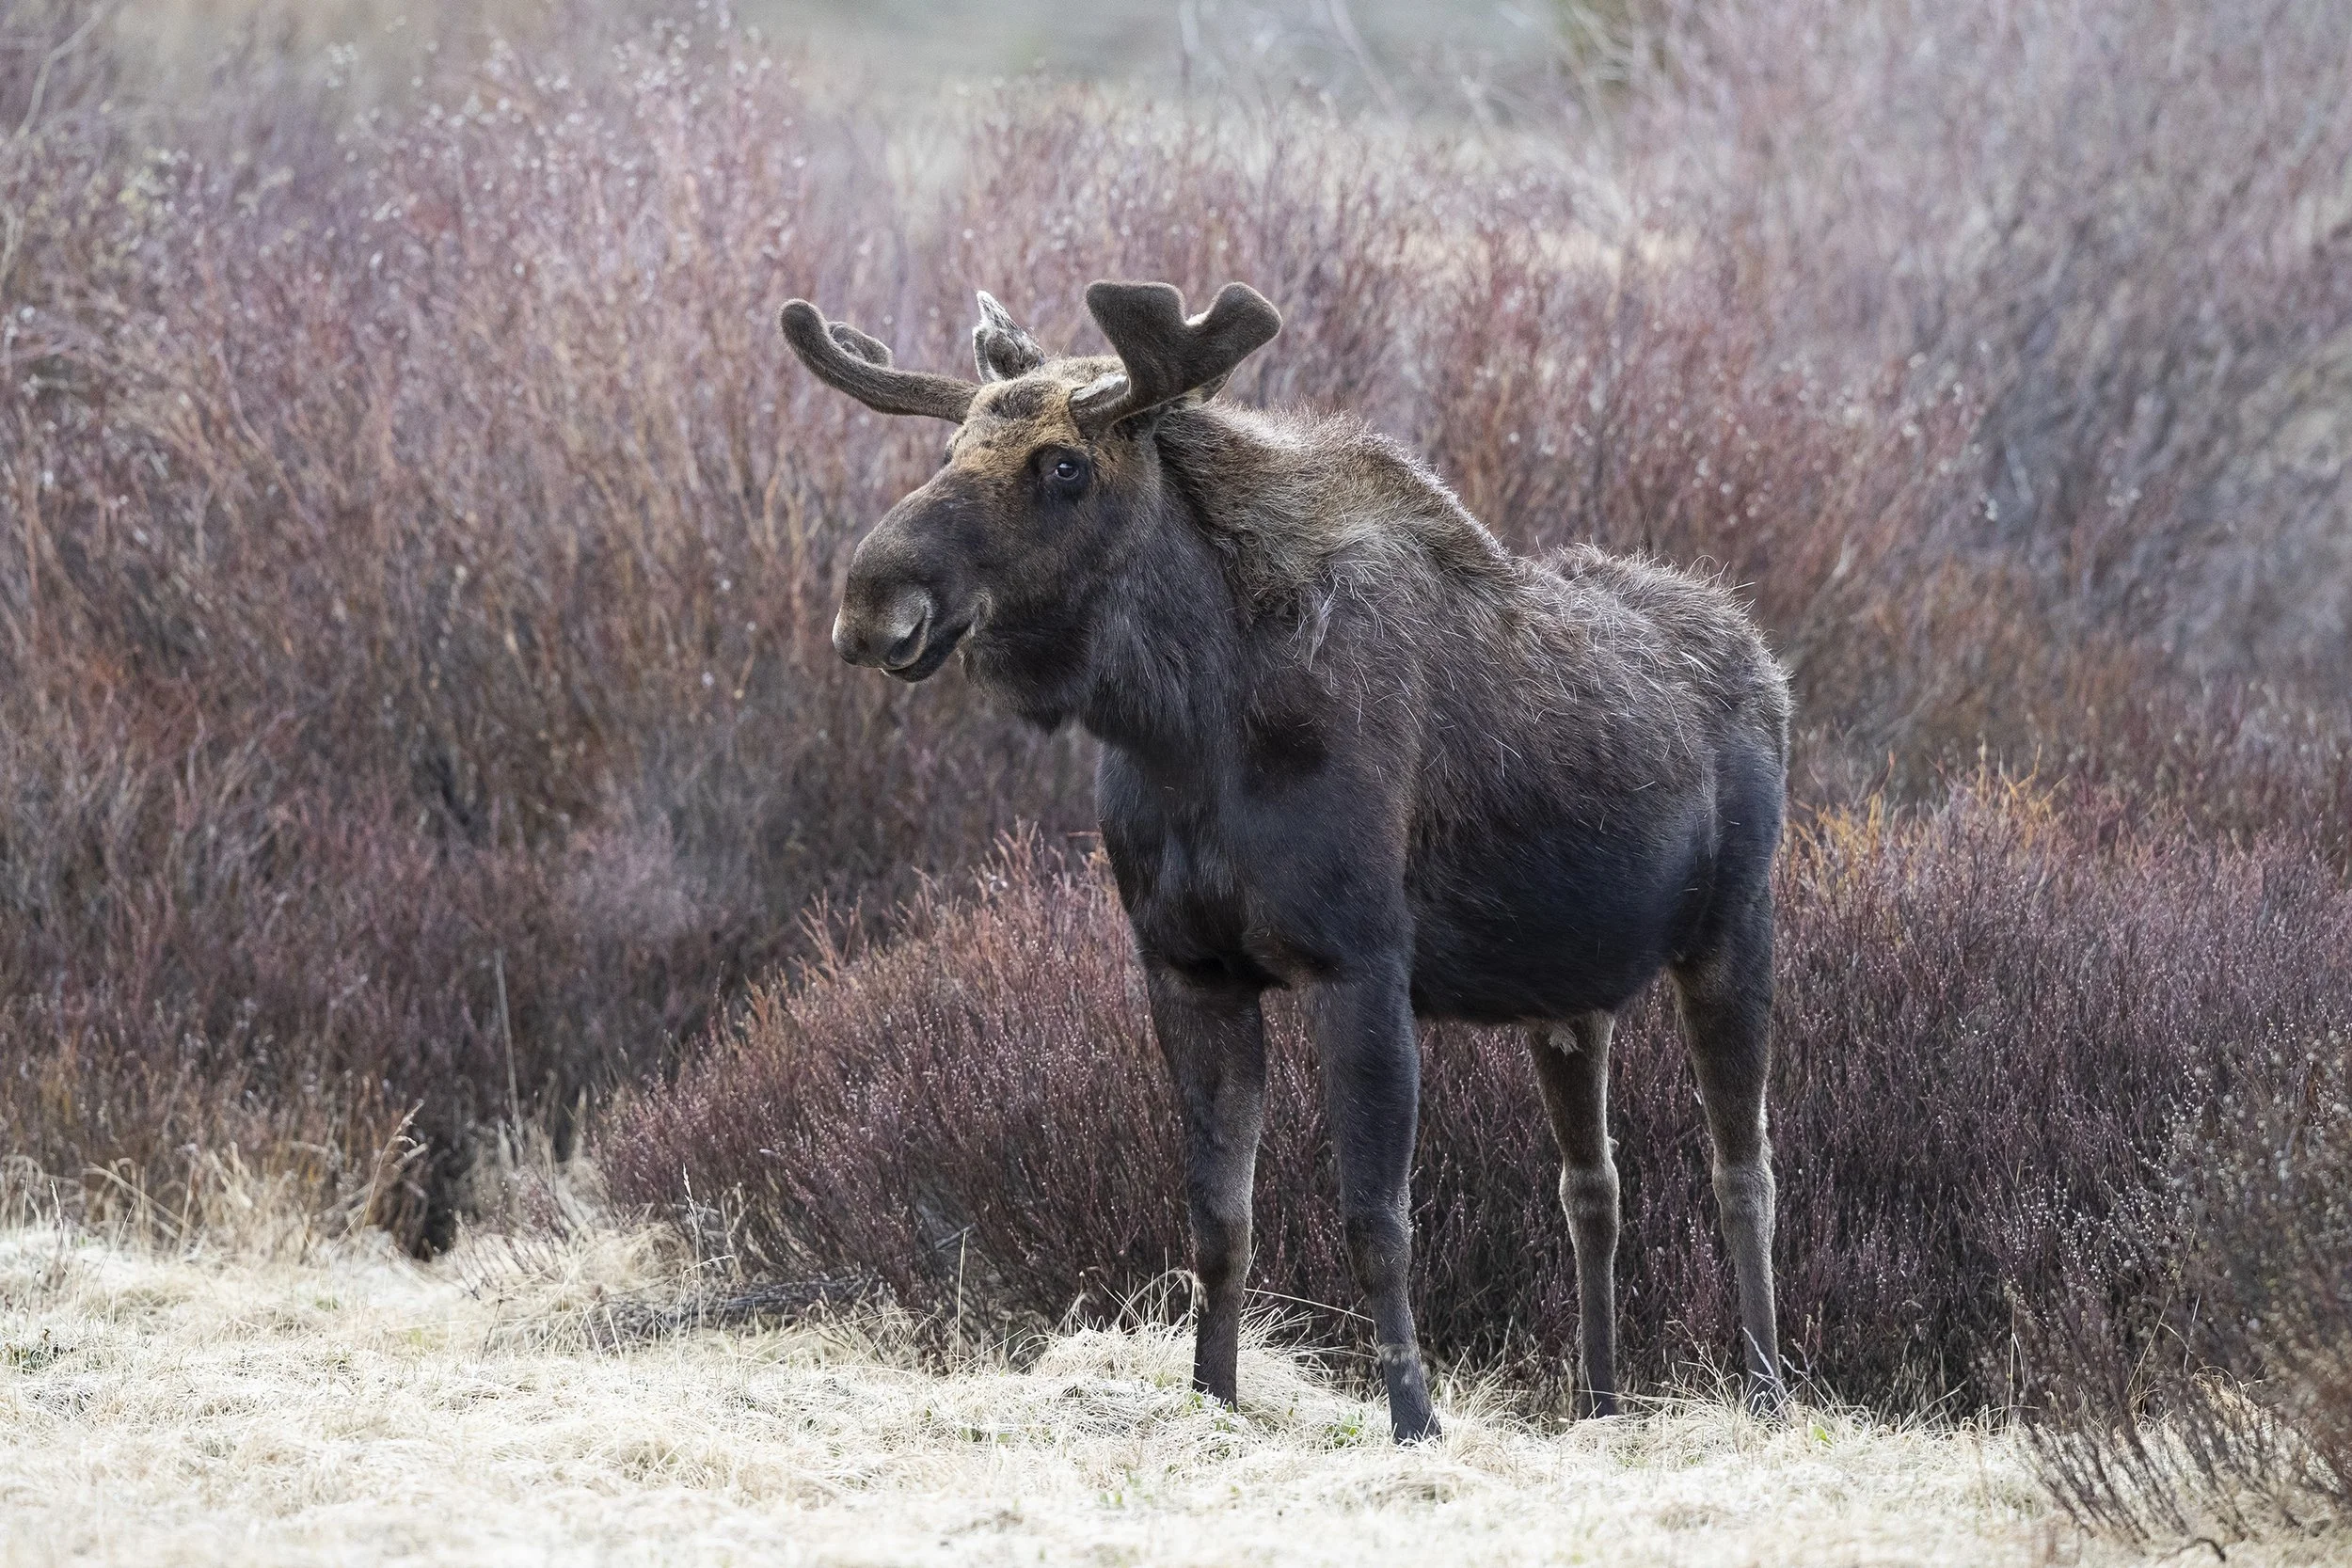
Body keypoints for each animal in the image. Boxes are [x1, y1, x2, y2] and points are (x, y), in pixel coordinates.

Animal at [779, 278, 1792, 1442]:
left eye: (1064, 465)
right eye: (951, 445)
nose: (872, 600)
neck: (1187, 728)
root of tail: (1767, 663)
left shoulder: (1361, 962)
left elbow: (1375, 1222)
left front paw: (1414, 1420)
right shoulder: (1188, 968)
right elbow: (1220, 1218)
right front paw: (1212, 1398)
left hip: (1732, 933)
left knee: (1743, 1169)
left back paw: (1768, 1391)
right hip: (1568, 995)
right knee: (1594, 1185)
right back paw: (1600, 1404)